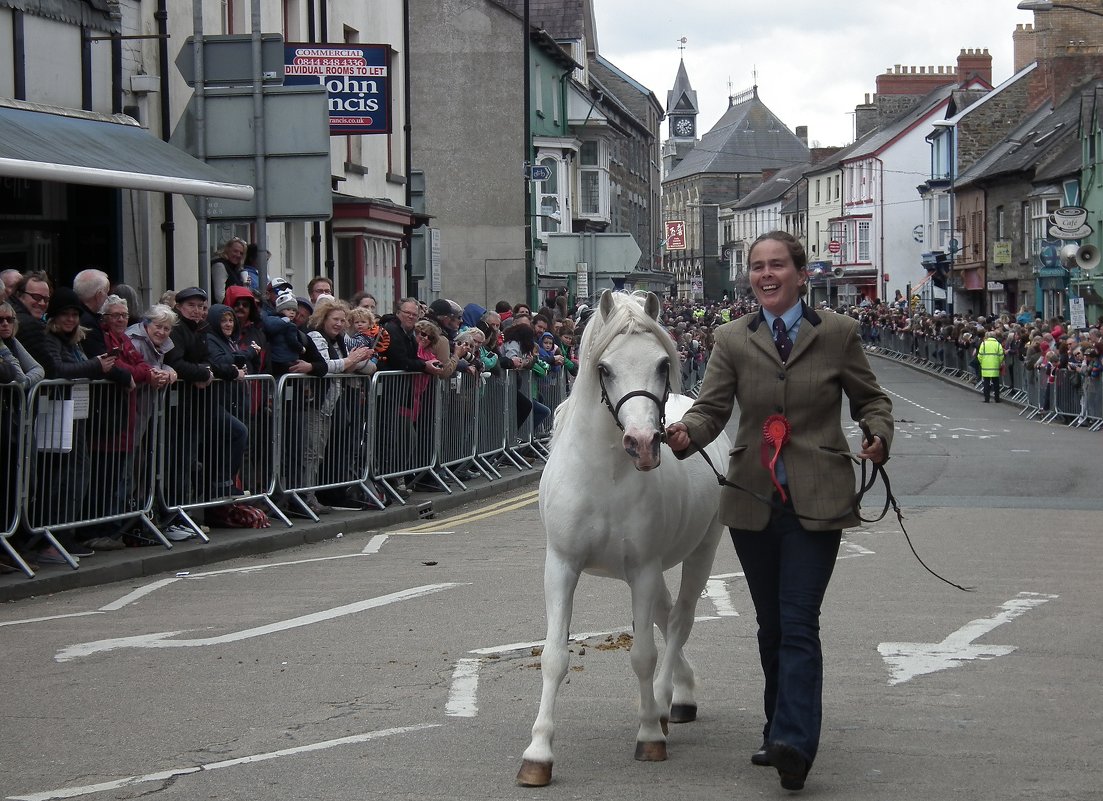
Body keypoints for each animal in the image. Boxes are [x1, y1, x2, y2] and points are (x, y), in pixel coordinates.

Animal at [518, 291, 732, 785]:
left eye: (660, 363)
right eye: (605, 368)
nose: (643, 442)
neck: (605, 475)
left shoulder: (644, 568)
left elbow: (643, 655)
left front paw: (649, 733)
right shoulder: (561, 566)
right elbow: (554, 656)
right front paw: (538, 754)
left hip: (702, 550)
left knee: (679, 621)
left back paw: (667, 703)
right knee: (668, 616)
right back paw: (678, 695)